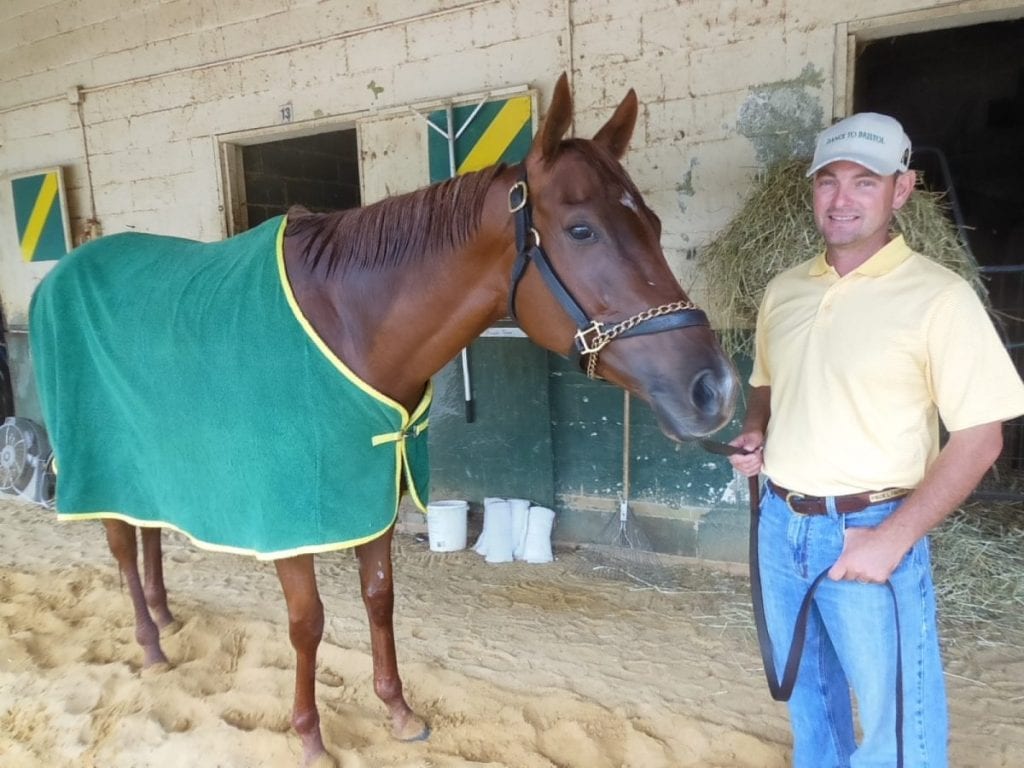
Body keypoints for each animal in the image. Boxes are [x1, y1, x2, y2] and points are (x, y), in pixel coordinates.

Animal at [29, 73, 737, 768]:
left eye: (653, 222)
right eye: (582, 229)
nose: (716, 388)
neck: (351, 322)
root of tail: (57, 277)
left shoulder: (377, 491)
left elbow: (379, 598)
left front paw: (398, 712)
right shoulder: (294, 516)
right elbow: (307, 621)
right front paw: (310, 737)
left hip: (149, 457)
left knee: (147, 533)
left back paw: (167, 618)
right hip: (101, 457)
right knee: (123, 545)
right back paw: (150, 644)